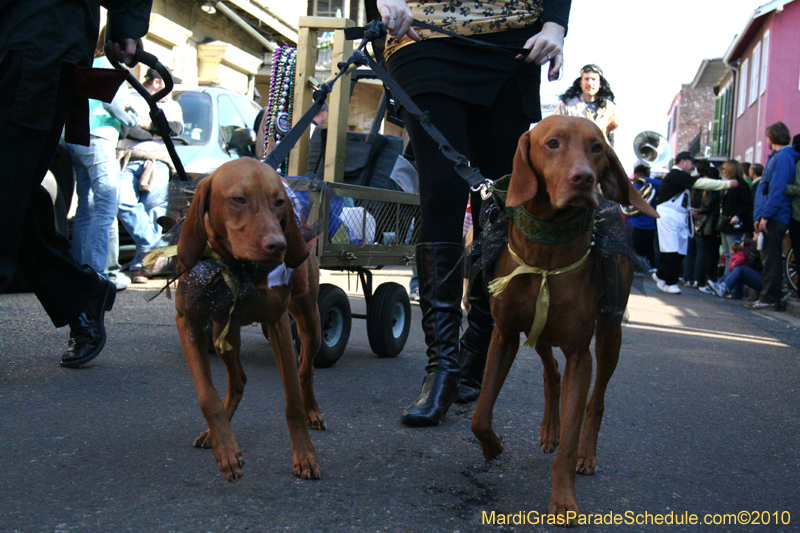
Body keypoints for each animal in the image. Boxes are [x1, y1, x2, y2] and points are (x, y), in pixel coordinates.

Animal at [177, 156, 324, 480]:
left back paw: (313, 410)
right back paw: (214, 434)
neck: (237, 268)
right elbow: (207, 395)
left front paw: (305, 455)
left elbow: (292, 401)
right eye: (239, 199)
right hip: (222, 332)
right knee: (239, 380)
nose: (279, 245)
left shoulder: (278, 323)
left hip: (310, 323)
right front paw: (226, 449)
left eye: (279, 202)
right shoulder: (188, 321)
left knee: (305, 368)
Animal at [468, 117, 656, 524]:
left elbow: (571, 436)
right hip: (538, 331)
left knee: (594, 400)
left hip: (609, 333)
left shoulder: (579, 353)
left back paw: (587, 453)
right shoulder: (504, 334)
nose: (584, 179)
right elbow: (480, 414)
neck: (546, 252)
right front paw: (492, 447)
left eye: (597, 147)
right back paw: (549, 429)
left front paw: (564, 499)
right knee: (551, 373)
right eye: (552, 143)